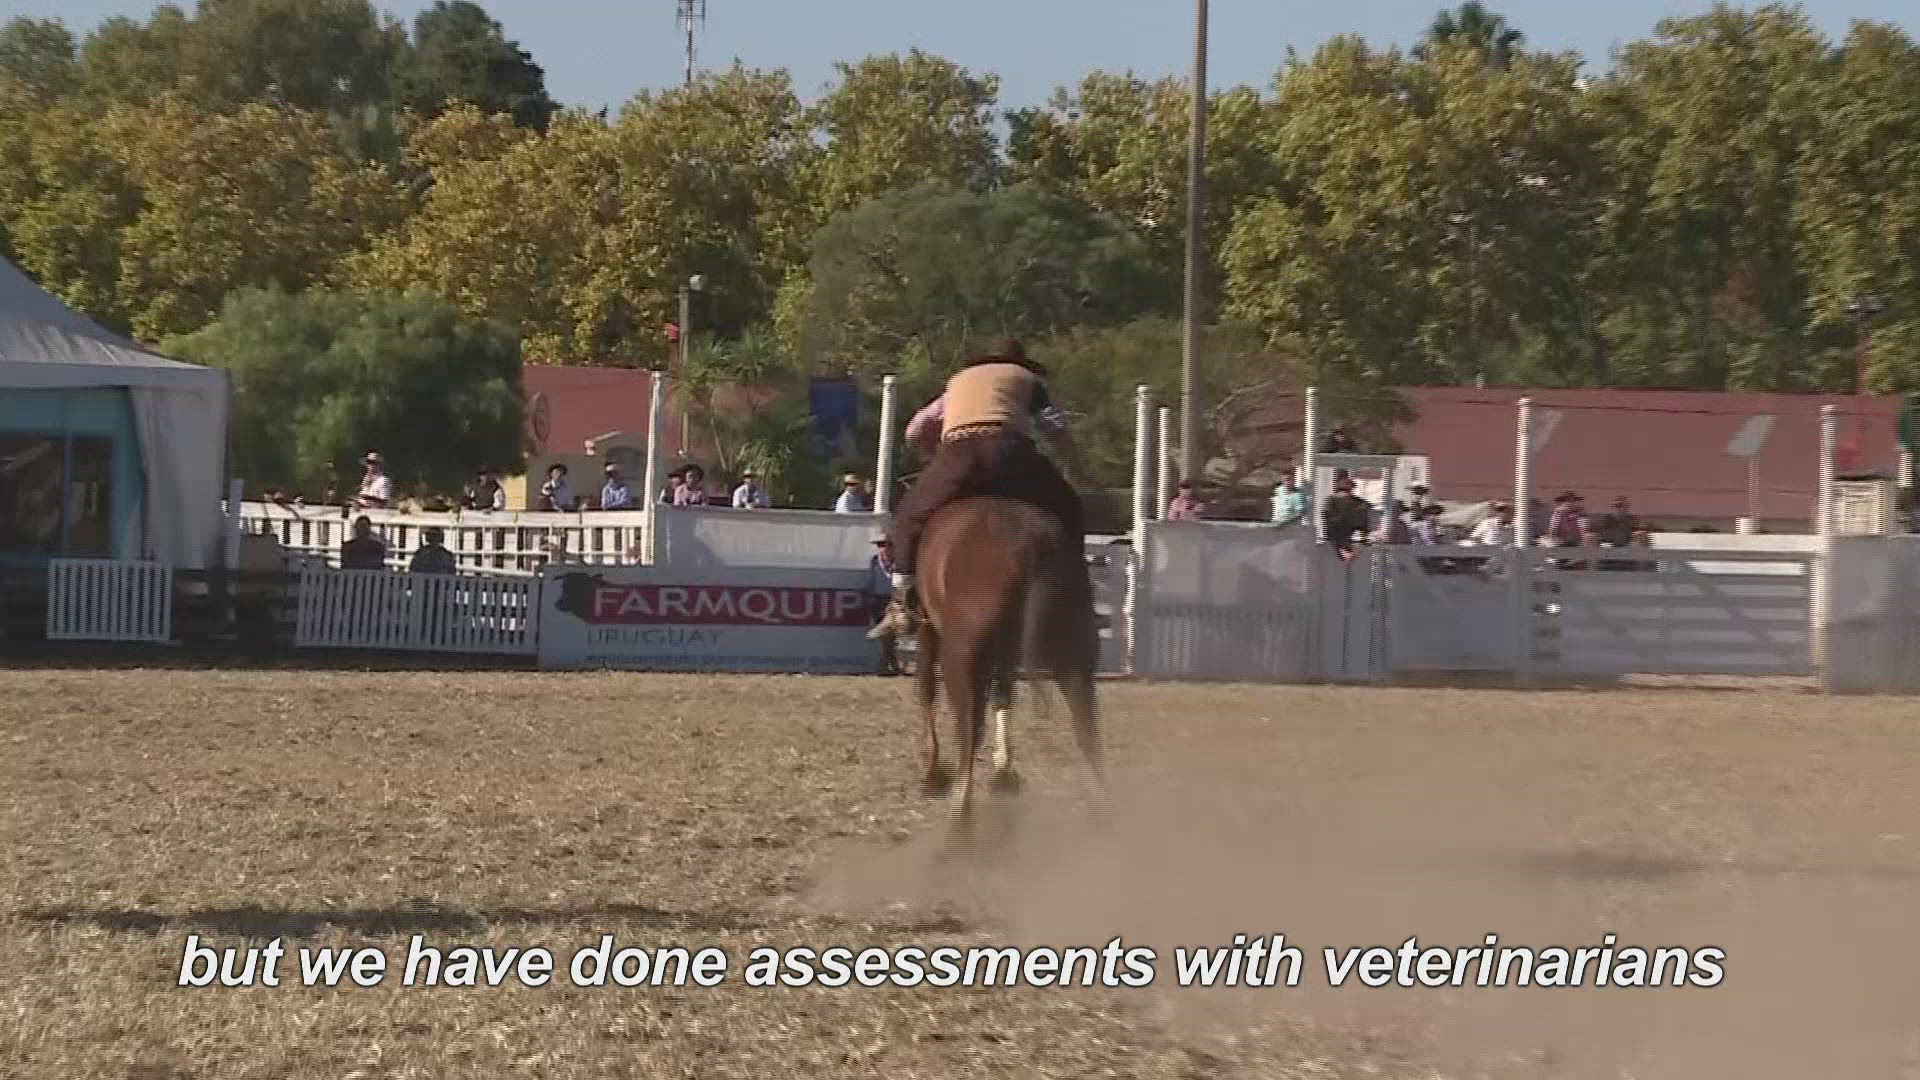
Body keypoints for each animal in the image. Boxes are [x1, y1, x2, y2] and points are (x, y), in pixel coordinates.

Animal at [912, 495, 1105, 841]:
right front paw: (1004, 771)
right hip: (1075, 657)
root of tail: (1032, 545)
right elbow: (1003, 695)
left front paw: (932, 772)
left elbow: (927, 687)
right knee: (1086, 728)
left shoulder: (928, 625)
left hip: (960, 658)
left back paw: (960, 820)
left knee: (969, 729)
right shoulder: (1007, 654)